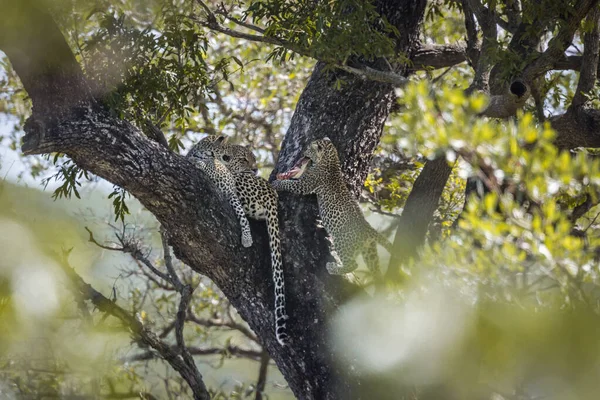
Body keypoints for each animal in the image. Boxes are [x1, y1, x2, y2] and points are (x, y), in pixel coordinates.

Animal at [272, 138, 394, 278]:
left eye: (308, 148)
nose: (302, 152)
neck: (331, 160)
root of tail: (368, 229)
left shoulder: (305, 185)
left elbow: (290, 184)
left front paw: (277, 183)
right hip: (370, 252)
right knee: (375, 270)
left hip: (342, 243)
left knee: (353, 264)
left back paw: (332, 268)